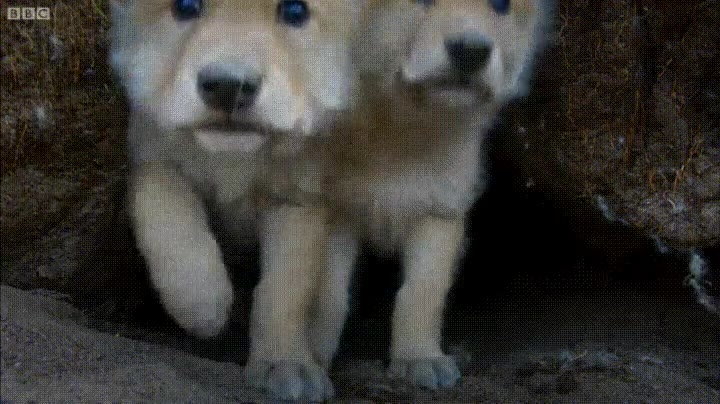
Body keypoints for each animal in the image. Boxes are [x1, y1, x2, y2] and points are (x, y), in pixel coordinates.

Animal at [108, 0, 366, 400]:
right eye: (186, 6)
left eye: (295, 11)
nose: (228, 86)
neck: (235, 157)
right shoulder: (151, 154)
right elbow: (170, 218)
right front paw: (203, 304)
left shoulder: (297, 200)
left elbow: (284, 291)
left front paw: (285, 362)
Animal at [296, 0, 554, 392]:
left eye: (500, 5)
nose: (471, 50)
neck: (401, 129)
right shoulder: (335, 209)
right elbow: (328, 293)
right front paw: (310, 355)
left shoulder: (440, 210)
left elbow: (420, 293)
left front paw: (419, 356)